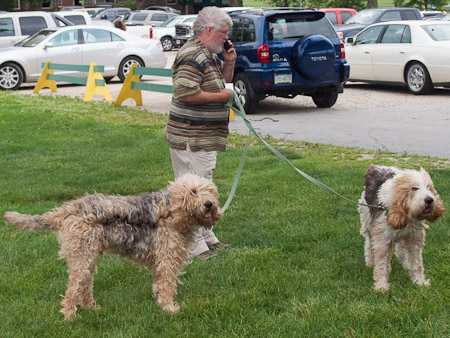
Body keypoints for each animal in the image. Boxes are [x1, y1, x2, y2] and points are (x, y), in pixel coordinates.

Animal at [2, 174, 223, 320]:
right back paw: (70, 317)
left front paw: (159, 301)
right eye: (193, 192)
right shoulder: (167, 260)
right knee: (72, 289)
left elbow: (159, 284)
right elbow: (167, 284)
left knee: (84, 285)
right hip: (82, 258)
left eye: (210, 191)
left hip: (89, 256)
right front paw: (169, 308)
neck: (172, 211)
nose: (209, 204)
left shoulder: (162, 262)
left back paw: (90, 307)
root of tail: (65, 209)